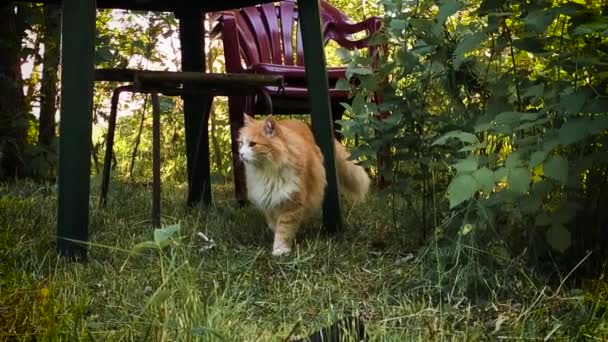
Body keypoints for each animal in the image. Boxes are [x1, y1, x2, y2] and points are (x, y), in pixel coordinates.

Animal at [238, 113, 370, 255]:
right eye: (241, 143)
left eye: (252, 144)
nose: (240, 154)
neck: (268, 172)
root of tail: (303, 122)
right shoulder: (269, 200)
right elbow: (275, 223)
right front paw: (276, 239)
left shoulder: (292, 202)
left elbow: (283, 229)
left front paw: (280, 249)